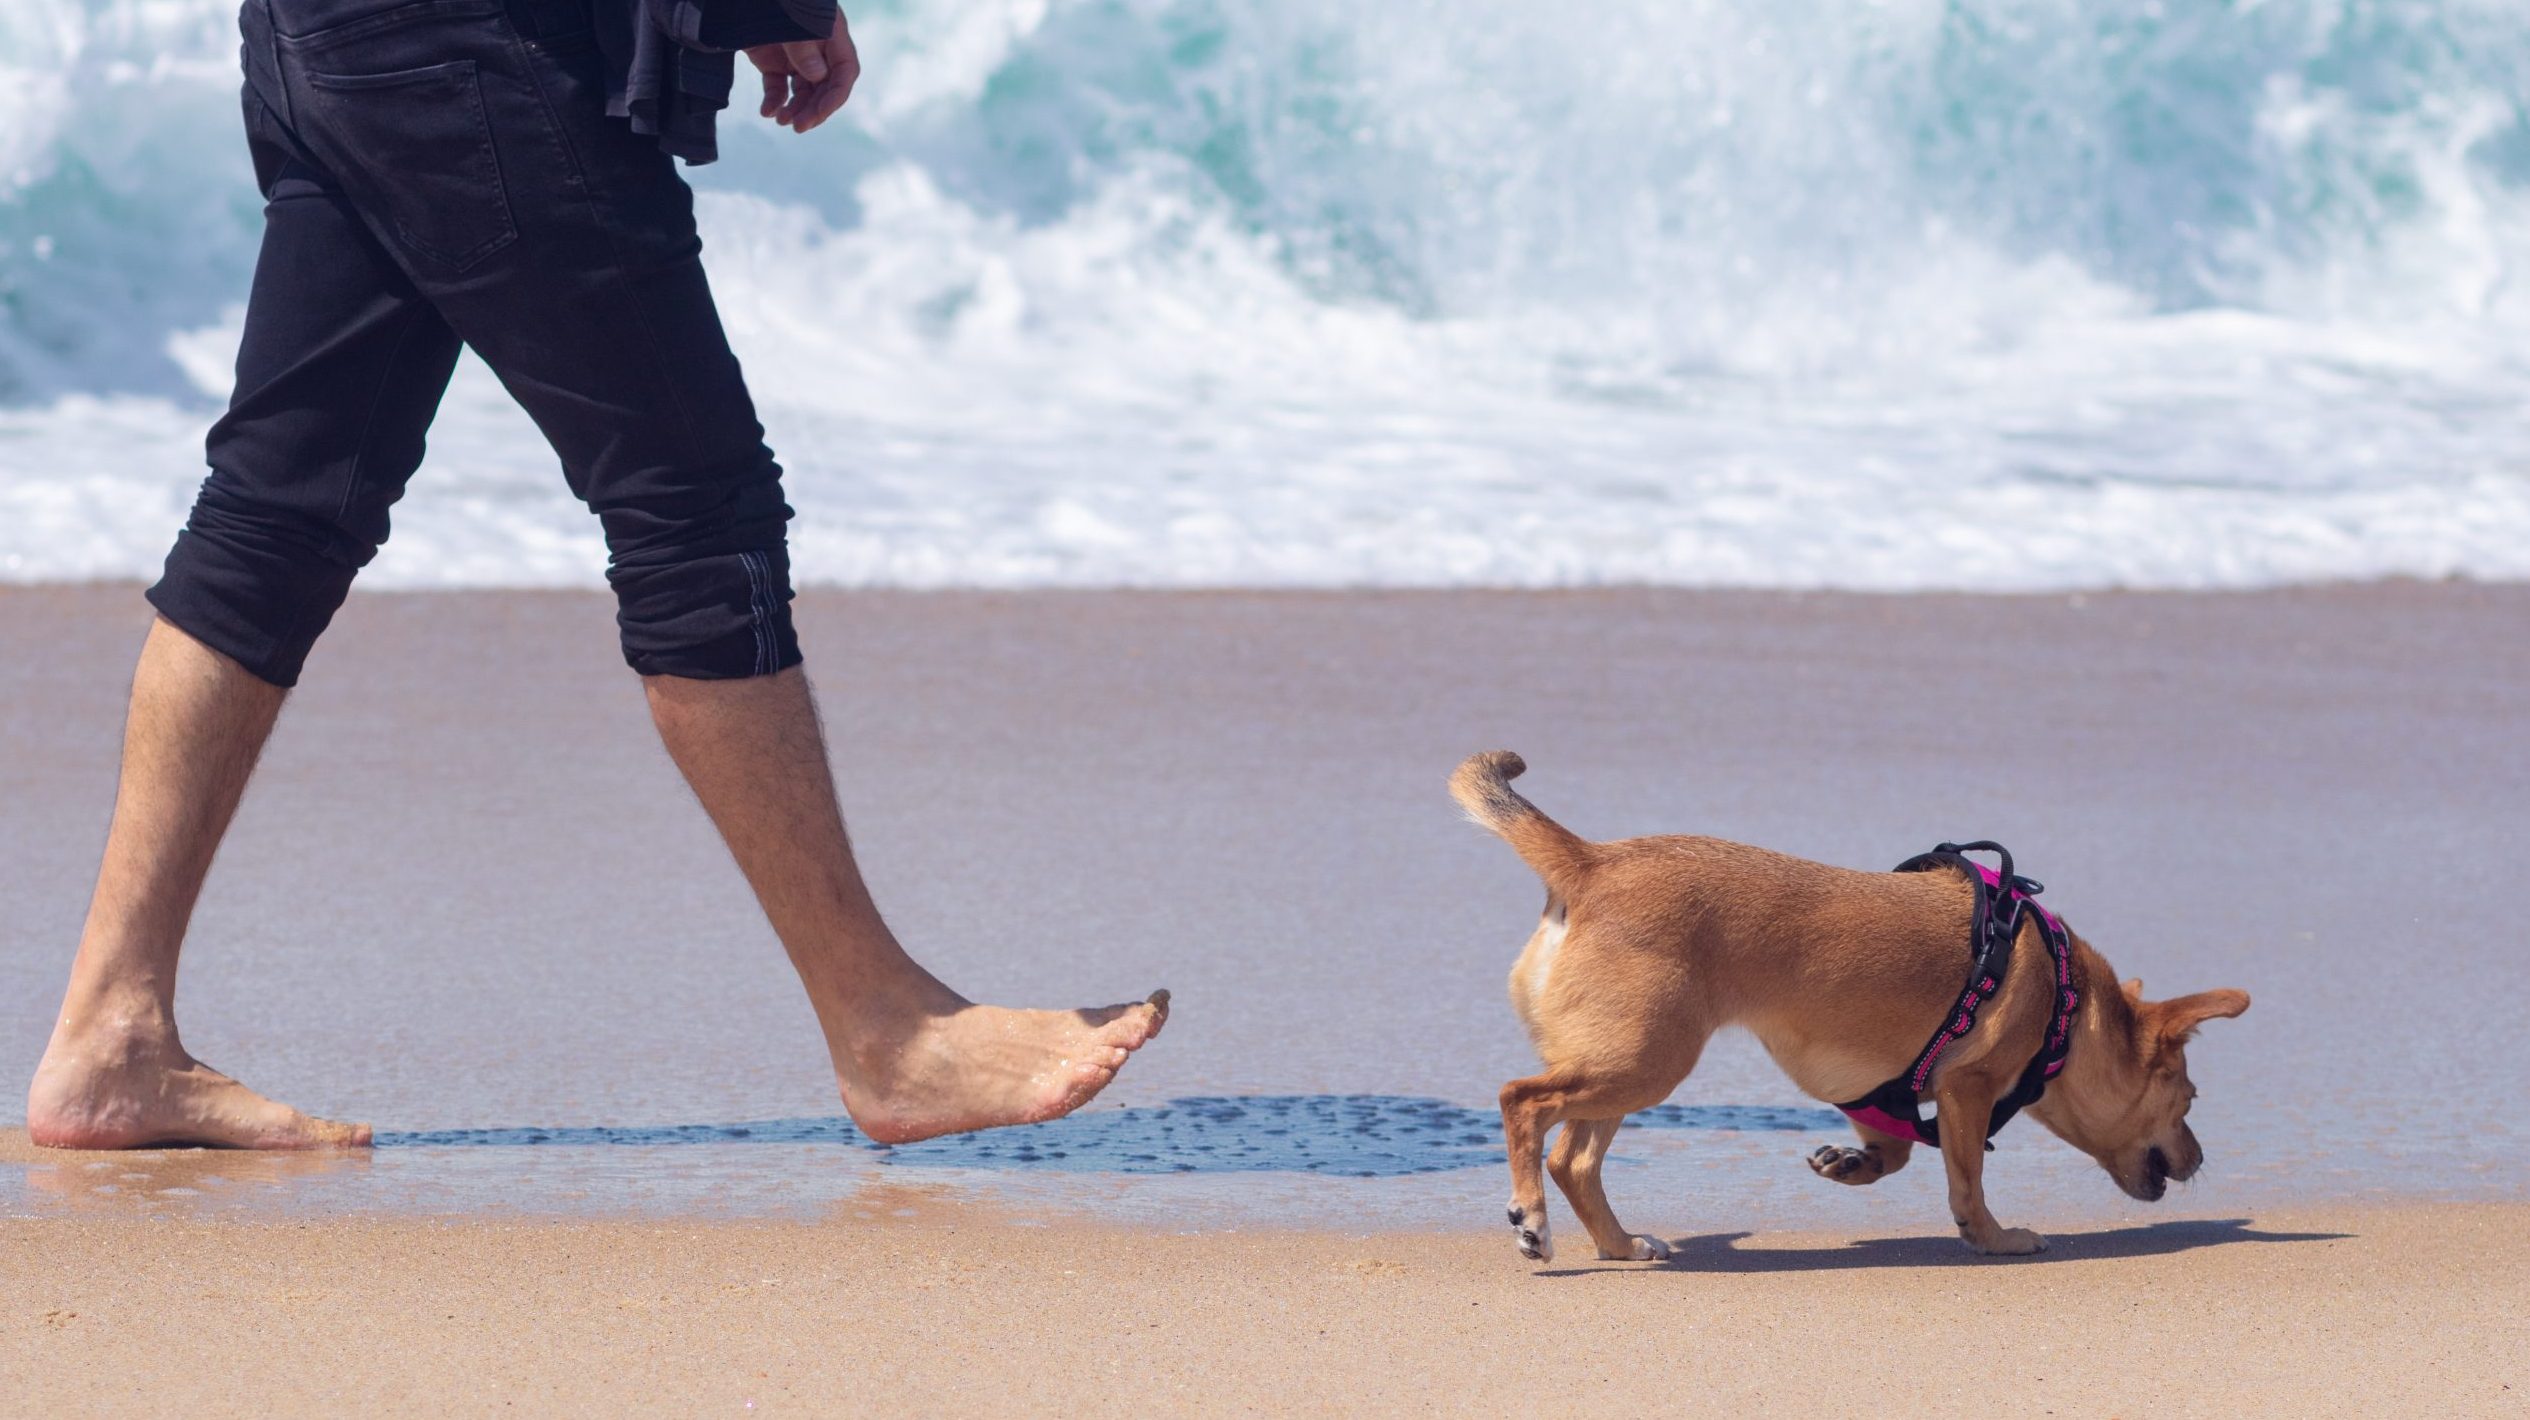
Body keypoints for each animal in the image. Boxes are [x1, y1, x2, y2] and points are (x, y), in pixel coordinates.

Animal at [1457, 749, 2266, 1255]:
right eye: (2187, 1102)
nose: (2201, 1158)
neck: (2067, 1006)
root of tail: (1591, 863)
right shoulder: (1968, 1089)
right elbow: (1967, 1182)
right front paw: (1995, 1239)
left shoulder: (1877, 1092)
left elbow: (1897, 1152)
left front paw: (1851, 1164)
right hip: (1641, 1062)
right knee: (1524, 1102)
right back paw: (1534, 1219)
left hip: (1626, 1065)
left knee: (1575, 1161)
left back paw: (1620, 1246)